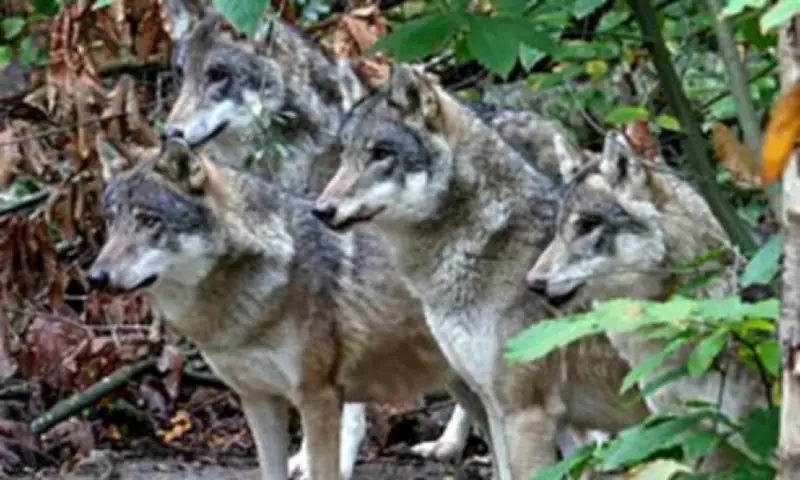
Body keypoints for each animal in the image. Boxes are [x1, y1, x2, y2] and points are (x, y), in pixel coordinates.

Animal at [312, 63, 651, 479]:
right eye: (345, 153)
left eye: (380, 154)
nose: (321, 209)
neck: (487, 245)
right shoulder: (496, 404)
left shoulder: (526, 412)